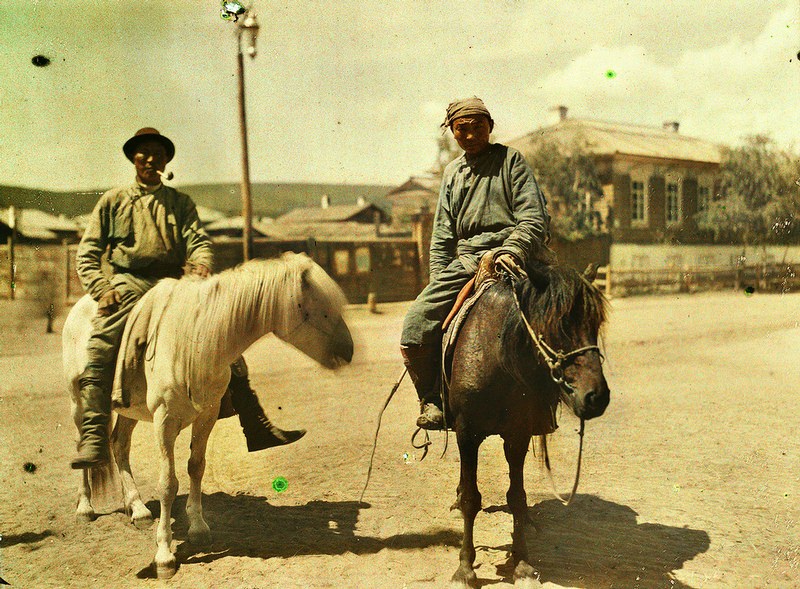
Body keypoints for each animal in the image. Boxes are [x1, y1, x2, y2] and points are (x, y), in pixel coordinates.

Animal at [62, 250, 350, 576]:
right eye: (319, 309)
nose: (349, 350)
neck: (193, 340)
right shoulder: (164, 420)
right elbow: (168, 483)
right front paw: (164, 554)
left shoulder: (207, 416)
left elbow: (196, 468)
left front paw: (198, 528)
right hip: (78, 402)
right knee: (84, 443)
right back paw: (85, 506)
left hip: (128, 410)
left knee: (119, 445)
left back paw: (136, 508)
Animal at [446, 260, 608, 584]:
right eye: (558, 326)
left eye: (595, 326)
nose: (597, 396)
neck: (495, 354)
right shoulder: (466, 433)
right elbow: (471, 499)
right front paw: (465, 568)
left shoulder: (517, 434)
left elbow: (517, 497)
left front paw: (522, 562)